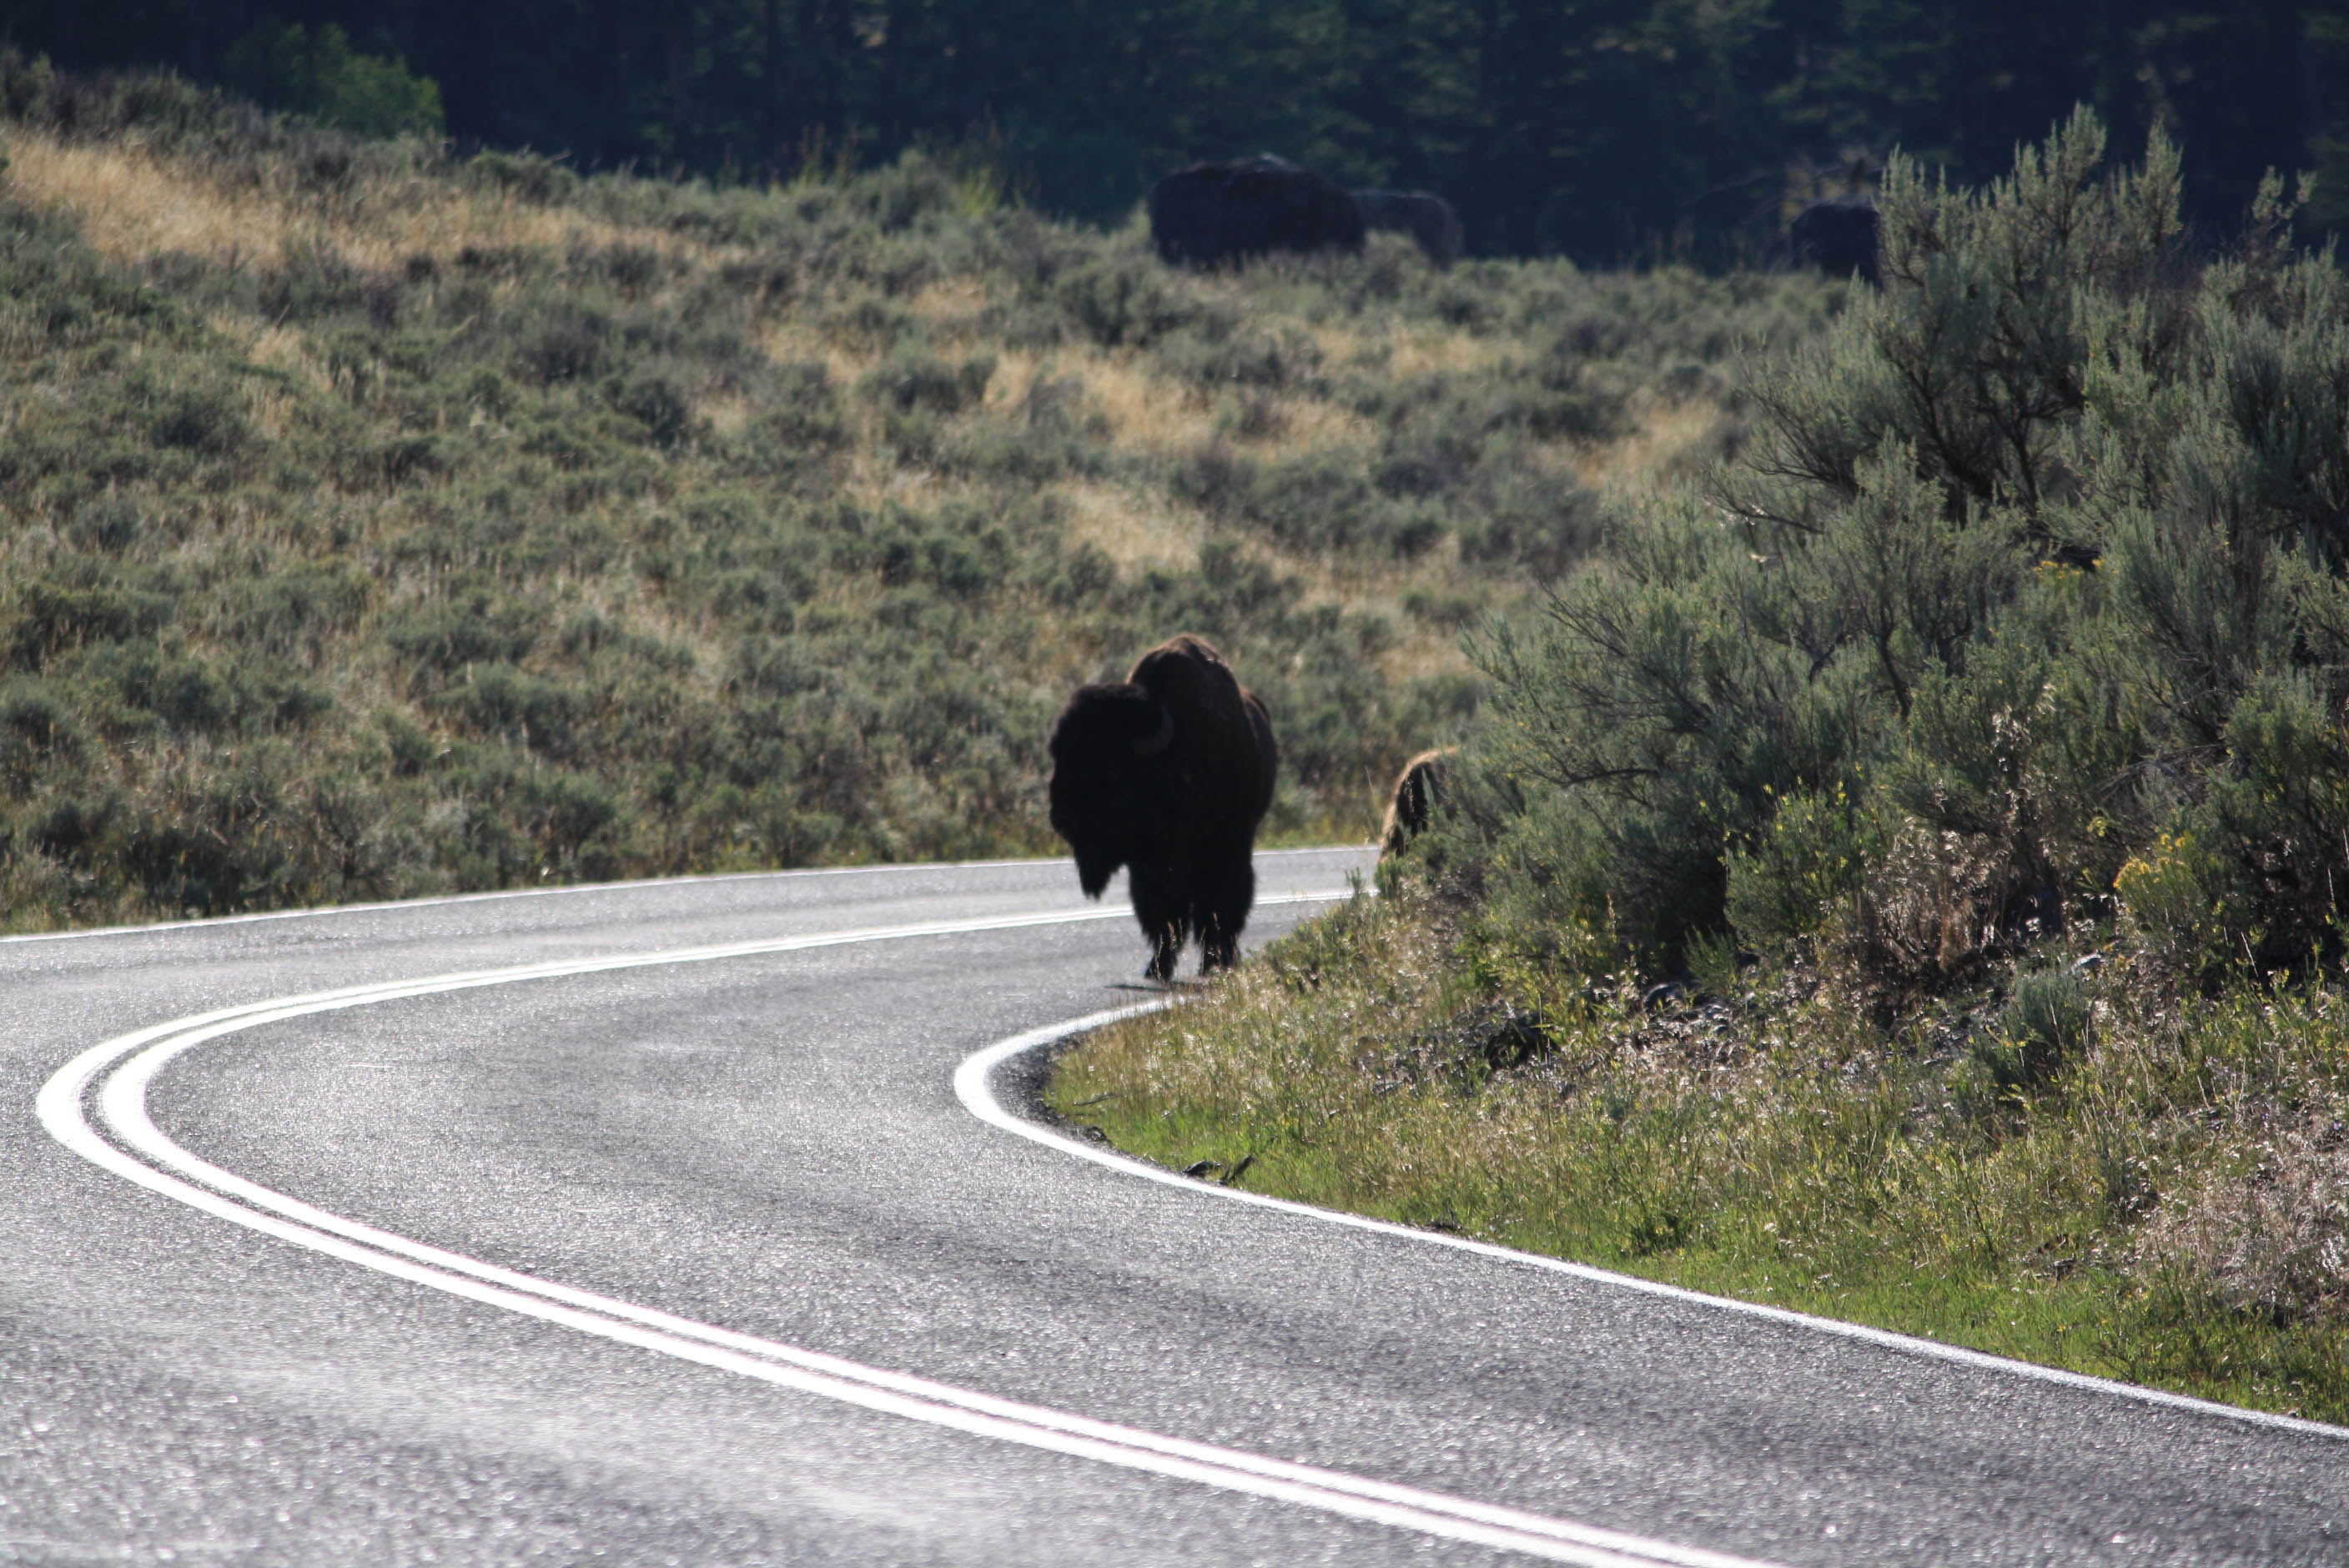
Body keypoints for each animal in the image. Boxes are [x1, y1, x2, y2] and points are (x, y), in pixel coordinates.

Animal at [1047, 633, 1277, 981]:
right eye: (1058, 756)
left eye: (1109, 768)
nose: (1060, 816)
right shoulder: (1147, 869)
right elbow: (1164, 916)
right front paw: (1156, 968)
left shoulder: (1226, 851)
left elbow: (1217, 908)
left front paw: (1214, 962)